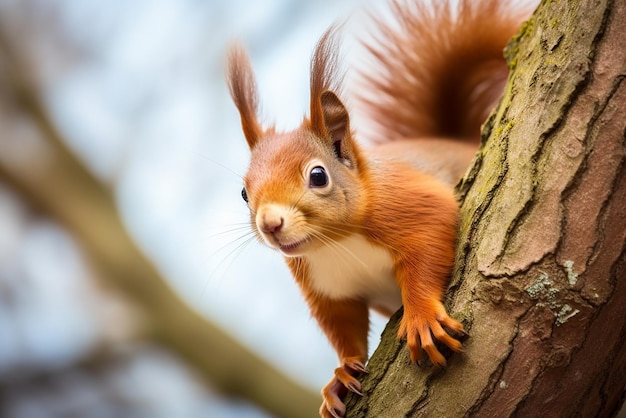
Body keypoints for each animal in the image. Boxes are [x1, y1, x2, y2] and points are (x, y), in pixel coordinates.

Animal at [224, 0, 528, 414]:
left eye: (318, 176)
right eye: (243, 192)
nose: (270, 224)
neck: (336, 242)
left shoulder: (410, 203)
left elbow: (426, 252)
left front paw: (421, 318)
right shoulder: (326, 286)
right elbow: (343, 326)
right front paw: (341, 374)